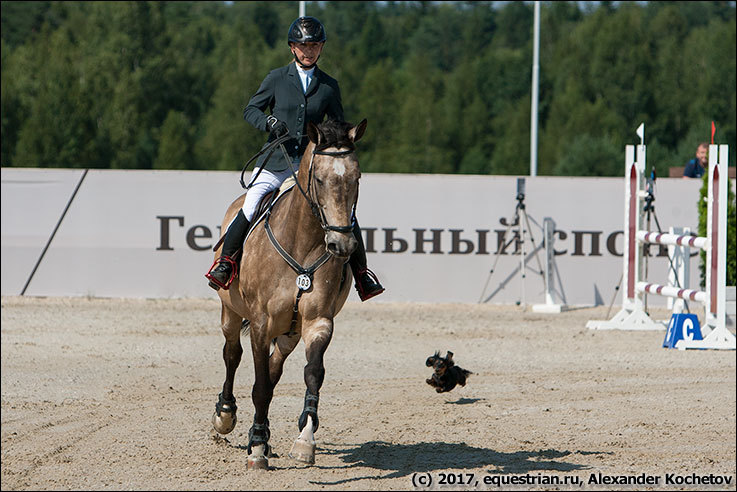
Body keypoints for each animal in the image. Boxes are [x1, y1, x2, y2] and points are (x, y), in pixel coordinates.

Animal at [208, 118, 366, 468]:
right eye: (319, 178)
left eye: (357, 177)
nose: (342, 245)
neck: (302, 241)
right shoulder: (260, 323)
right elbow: (260, 387)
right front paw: (256, 447)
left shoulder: (319, 321)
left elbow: (312, 374)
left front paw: (304, 440)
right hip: (231, 311)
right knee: (232, 354)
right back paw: (226, 416)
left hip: (290, 331)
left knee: (274, 367)